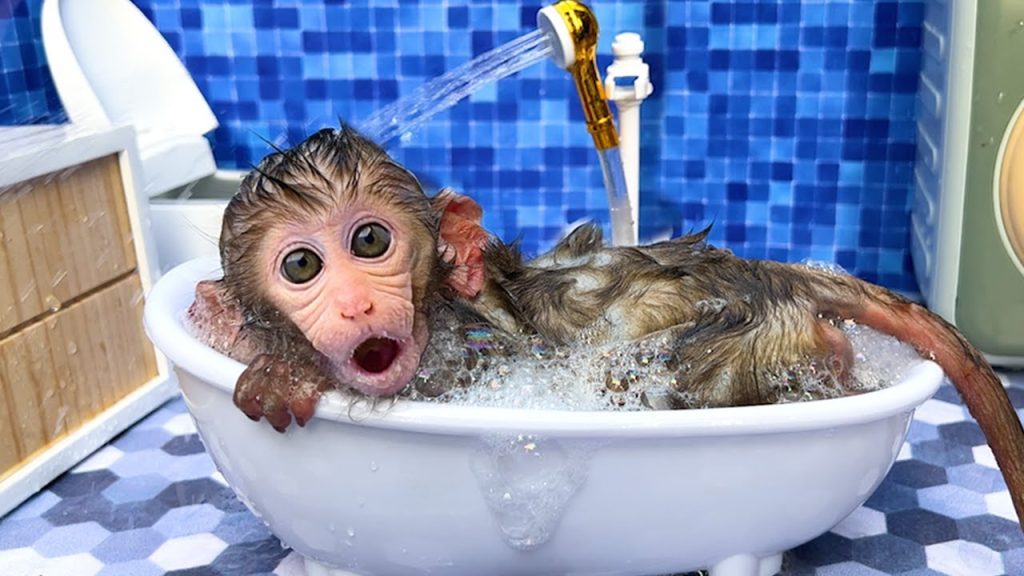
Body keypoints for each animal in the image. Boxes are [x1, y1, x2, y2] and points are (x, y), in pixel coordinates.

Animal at [194, 125, 1024, 529]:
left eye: (370, 240)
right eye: (302, 265)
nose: (355, 307)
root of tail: (774, 274)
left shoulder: (470, 353)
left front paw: (287, 372)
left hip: (751, 344)